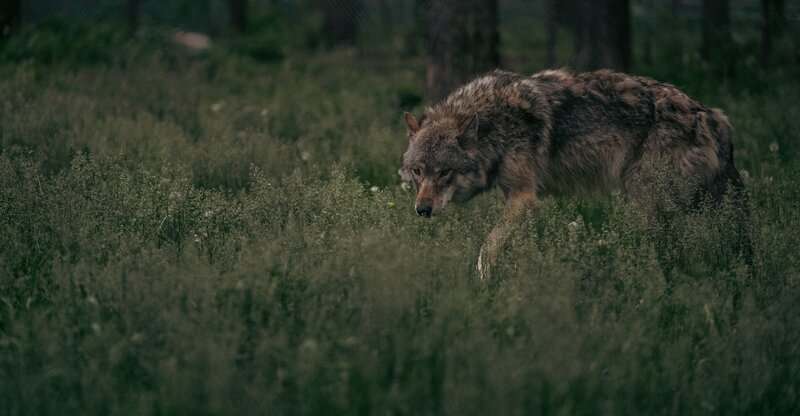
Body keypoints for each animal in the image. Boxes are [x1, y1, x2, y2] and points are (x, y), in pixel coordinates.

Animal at [399, 69, 749, 280]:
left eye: (445, 172)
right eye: (418, 172)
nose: (422, 210)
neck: (494, 125)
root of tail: (711, 115)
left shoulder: (524, 197)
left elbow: (487, 248)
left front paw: (484, 283)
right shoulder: (519, 200)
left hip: (646, 200)